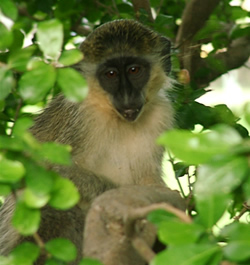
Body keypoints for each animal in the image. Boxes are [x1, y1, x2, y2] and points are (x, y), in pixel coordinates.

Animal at [0, 19, 184, 262]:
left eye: (134, 70)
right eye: (111, 74)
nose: (127, 97)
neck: (114, 117)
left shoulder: (161, 114)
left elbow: (148, 179)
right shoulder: (81, 118)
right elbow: (47, 171)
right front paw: (117, 198)